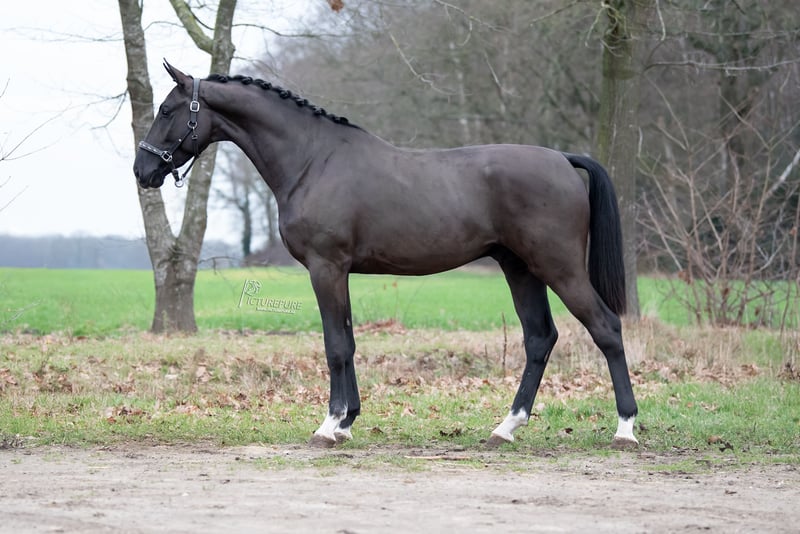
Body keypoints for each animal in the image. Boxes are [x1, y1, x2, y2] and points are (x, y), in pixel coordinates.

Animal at [133, 61, 639, 449]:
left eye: (167, 110)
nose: (143, 170)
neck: (313, 160)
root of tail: (563, 158)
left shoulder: (326, 268)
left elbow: (335, 345)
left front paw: (329, 426)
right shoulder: (340, 272)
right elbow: (349, 340)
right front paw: (347, 423)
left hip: (559, 267)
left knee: (606, 328)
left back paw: (625, 429)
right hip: (521, 268)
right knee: (539, 338)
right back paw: (505, 427)